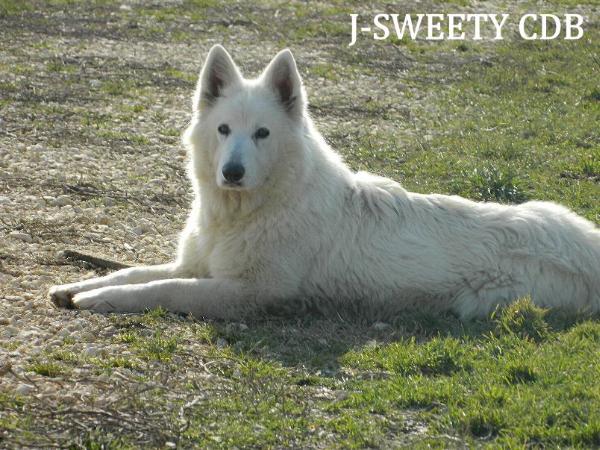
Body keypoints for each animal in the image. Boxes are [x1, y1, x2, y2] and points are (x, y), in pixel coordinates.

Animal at [50, 44, 600, 320]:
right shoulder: (197, 264)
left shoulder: (245, 291)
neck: (252, 209)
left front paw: (99, 301)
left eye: (262, 133)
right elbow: (133, 272)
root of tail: (585, 241)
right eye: (225, 129)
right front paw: (77, 286)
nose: (232, 172)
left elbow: (161, 289)